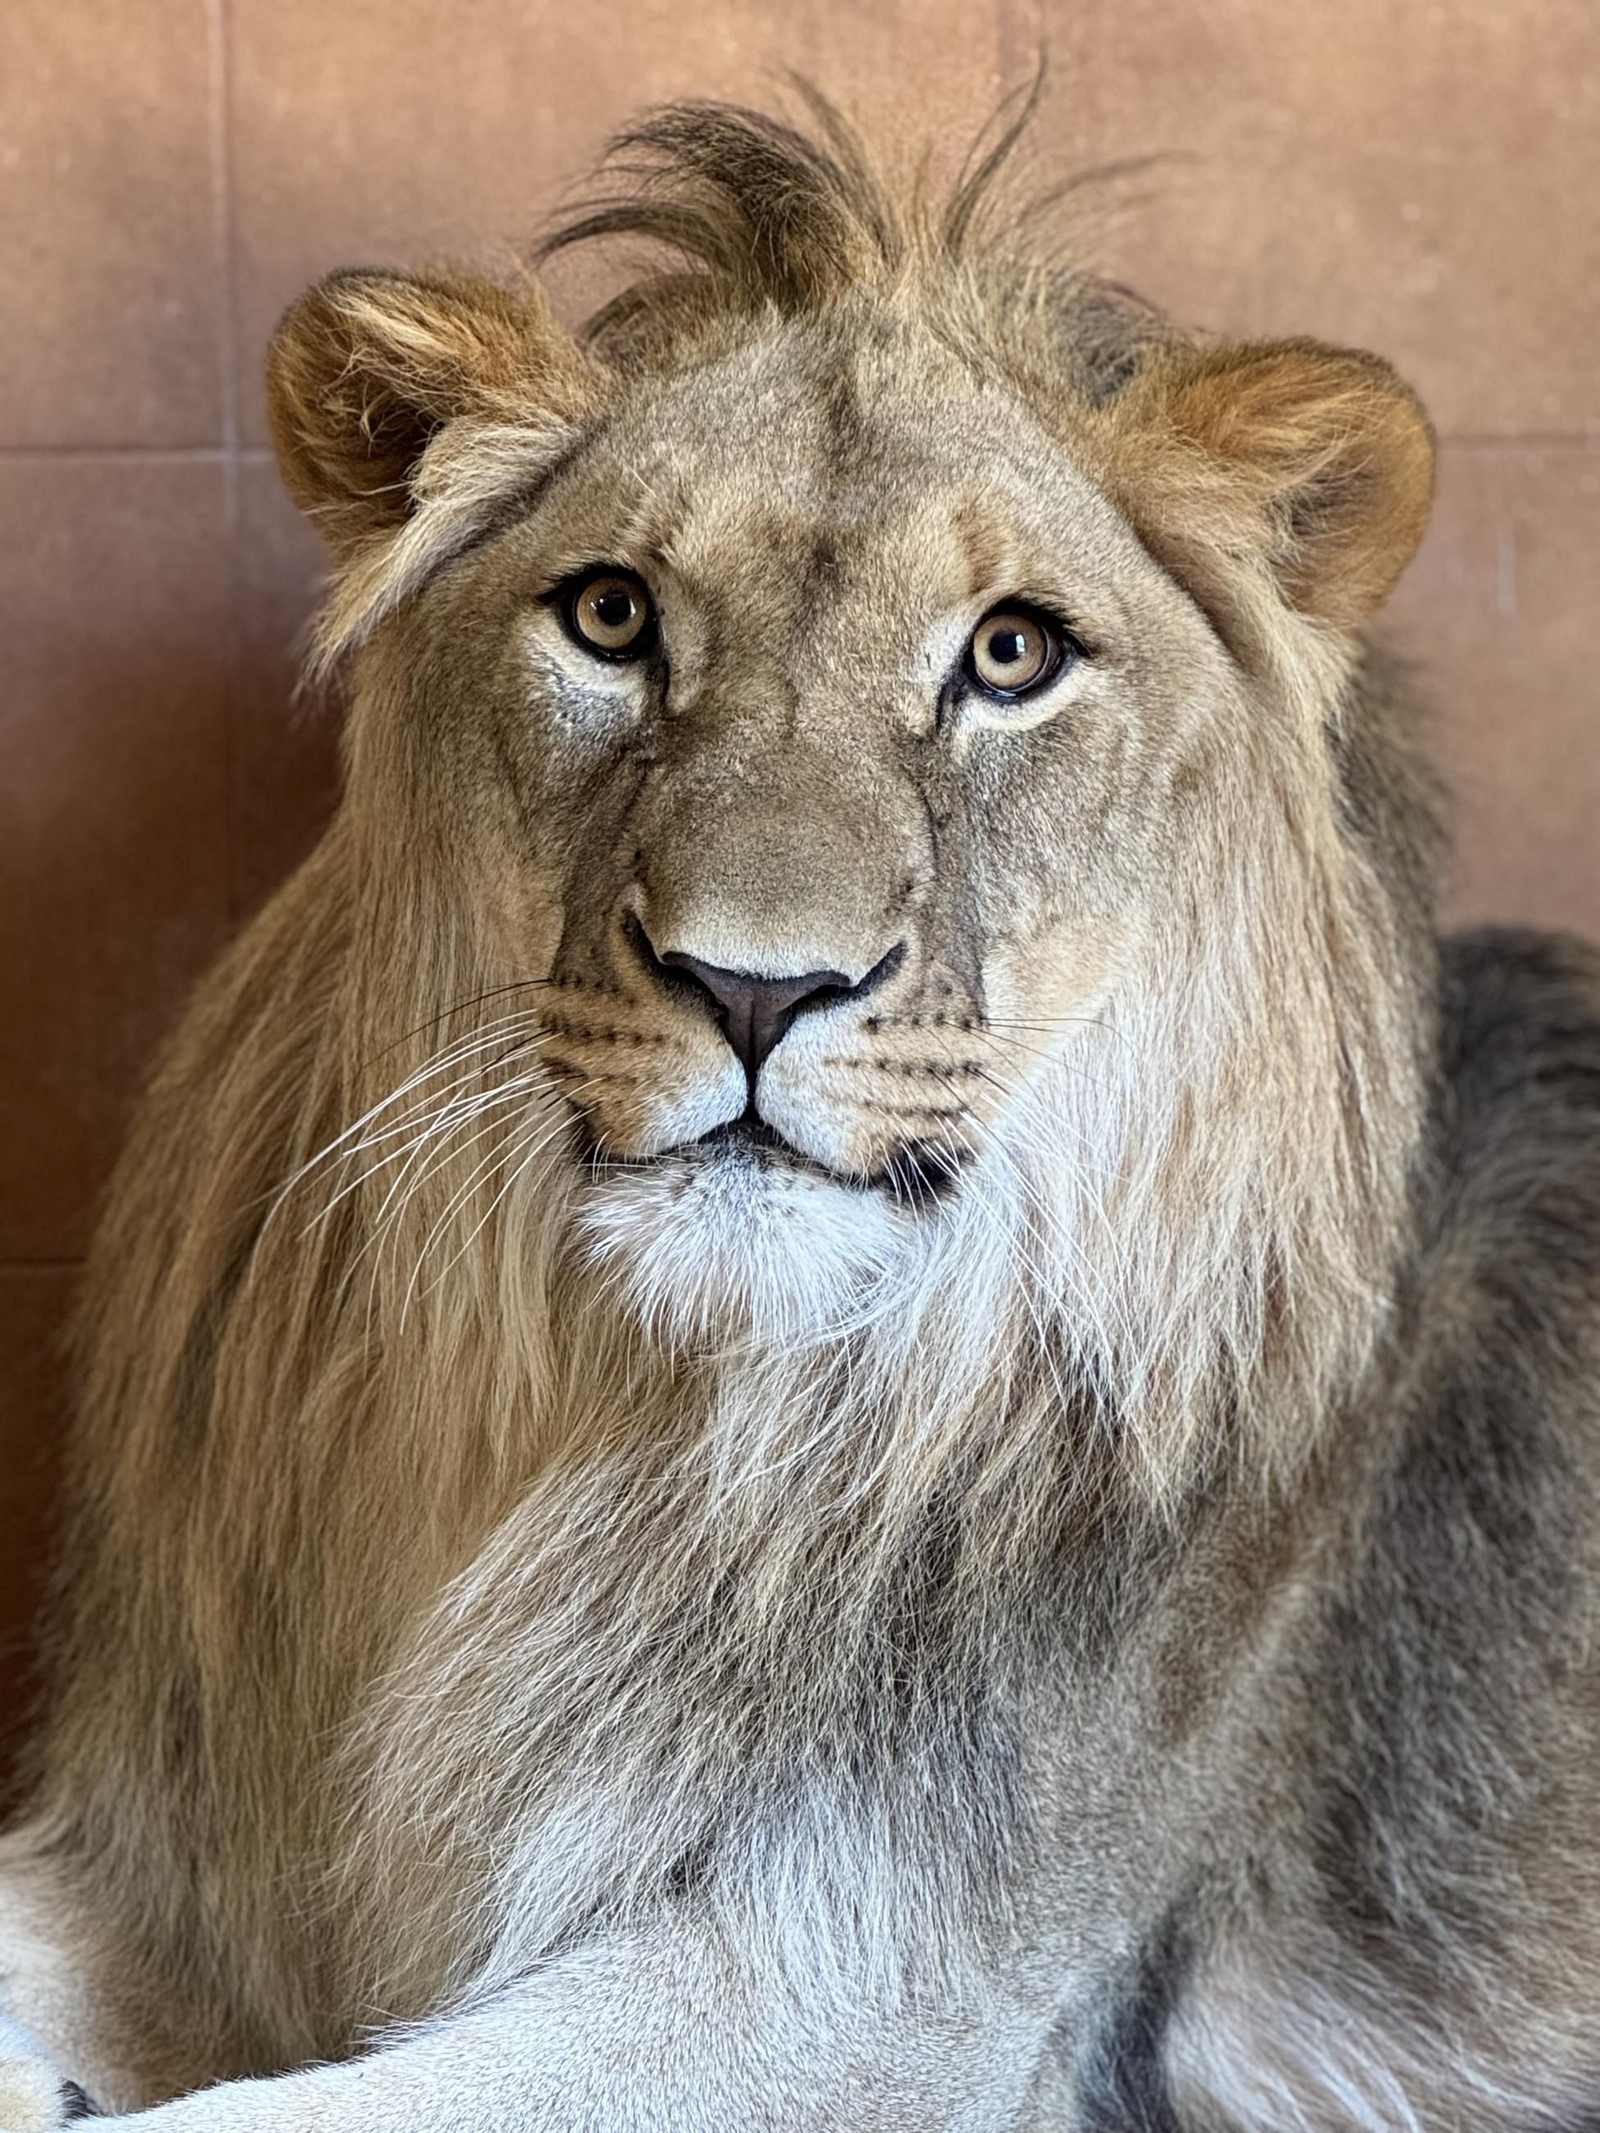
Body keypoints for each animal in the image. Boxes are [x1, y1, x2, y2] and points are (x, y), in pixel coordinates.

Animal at [2, 89, 1599, 2131]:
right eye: (613, 617)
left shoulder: (864, 2007)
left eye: (1010, 654)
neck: (638, 1410)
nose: (755, 987)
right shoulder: (181, 1863)